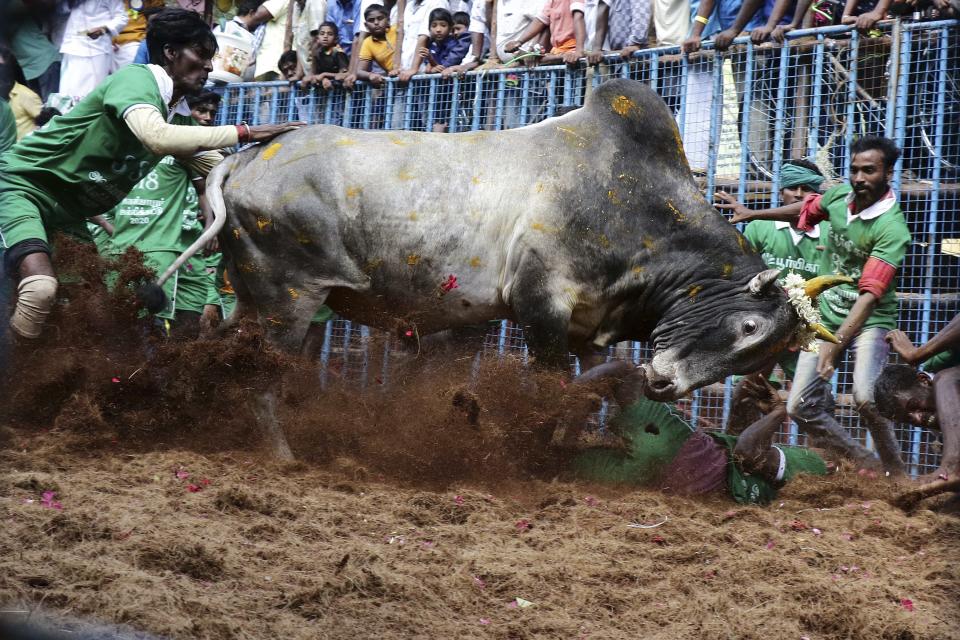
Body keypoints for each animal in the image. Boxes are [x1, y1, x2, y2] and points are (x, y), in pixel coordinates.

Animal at [167, 79, 848, 456]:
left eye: (756, 360)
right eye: (748, 328)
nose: (663, 384)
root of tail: (248, 157)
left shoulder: (584, 332)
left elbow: (587, 394)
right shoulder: (539, 305)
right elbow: (549, 390)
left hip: (253, 298)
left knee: (217, 344)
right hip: (290, 300)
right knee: (260, 375)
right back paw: (281, 453)